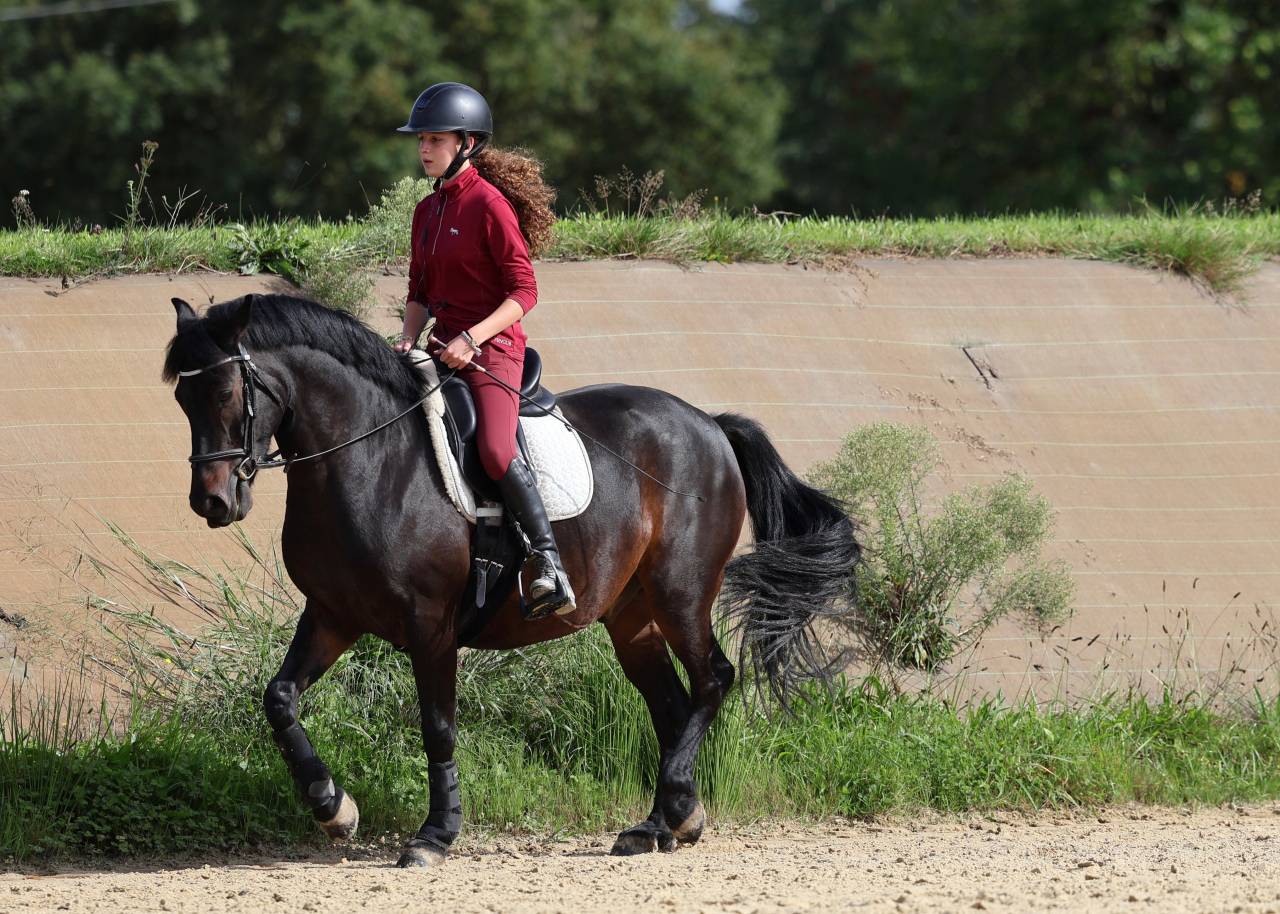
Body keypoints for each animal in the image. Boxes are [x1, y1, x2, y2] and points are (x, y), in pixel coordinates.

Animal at [163, 292, 860, 867]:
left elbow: (437, 726)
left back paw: (676, 809)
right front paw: (333, 807)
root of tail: (710, 423)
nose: (211, 503)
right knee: (669, 702)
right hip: (631, 615)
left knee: (712, 677)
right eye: (182, 399)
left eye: (224, 392)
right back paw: (664, 821)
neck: (368, 461)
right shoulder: (333, 614)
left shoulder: (431, 627)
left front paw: (435, 835)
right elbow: (279, 698)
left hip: (680, 592)